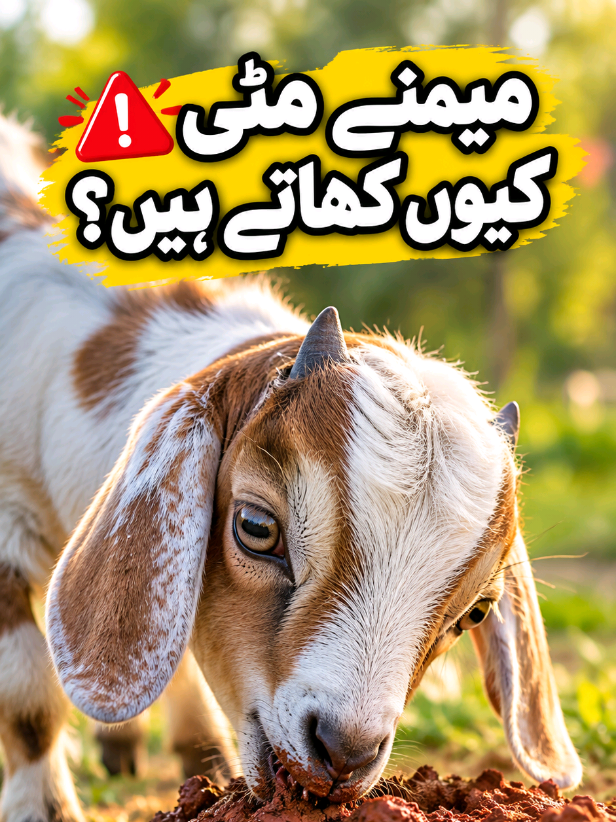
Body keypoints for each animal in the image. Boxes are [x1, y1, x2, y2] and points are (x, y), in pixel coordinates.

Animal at [0, 114, 581, 822]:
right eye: (255, 527)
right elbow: (29, 695)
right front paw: (43, 807)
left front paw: (205, 760)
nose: (344, 752)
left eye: (475, 611)